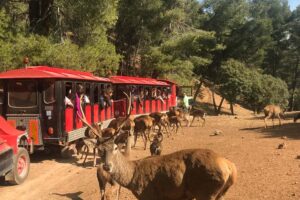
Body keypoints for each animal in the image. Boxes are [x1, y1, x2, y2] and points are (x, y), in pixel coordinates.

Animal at [100, 134, 237, 200]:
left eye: (116, 148)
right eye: (99, 149)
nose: (107, 166)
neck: (132, 178)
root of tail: (231, 168)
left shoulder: (149, 195)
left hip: (206, 191)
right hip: (220, 193)